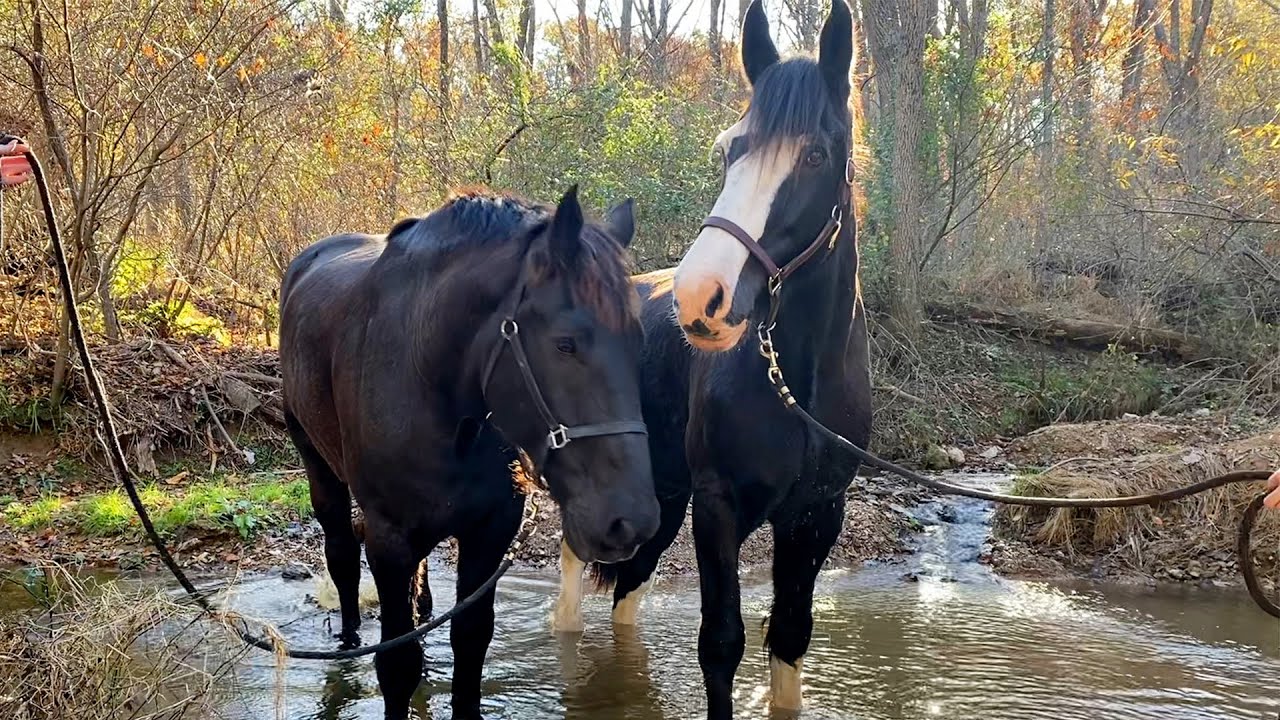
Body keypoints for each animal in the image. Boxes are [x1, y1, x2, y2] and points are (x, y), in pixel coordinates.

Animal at [280, 185, 660, 717]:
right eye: (565, 344)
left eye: (638, 342)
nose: (631, 522)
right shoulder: (388, 540)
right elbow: (396, 664)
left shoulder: (490, 531)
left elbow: (471, 641)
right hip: (319, 469)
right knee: (341, 555)